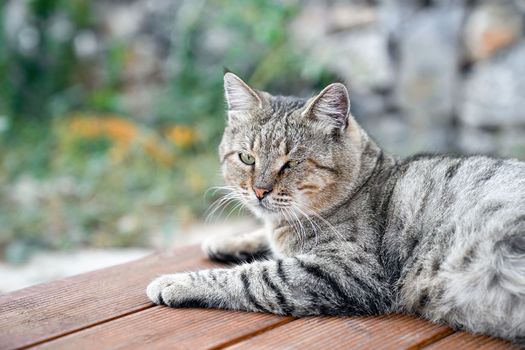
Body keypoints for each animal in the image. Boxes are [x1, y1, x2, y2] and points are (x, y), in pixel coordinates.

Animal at [146, 72, 524, 344]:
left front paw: (175, 282)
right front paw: (227, 242)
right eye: (246, 158)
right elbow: (265, 241)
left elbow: (255, 276)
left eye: (291, 164)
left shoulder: (347, 270)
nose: (259, 191)